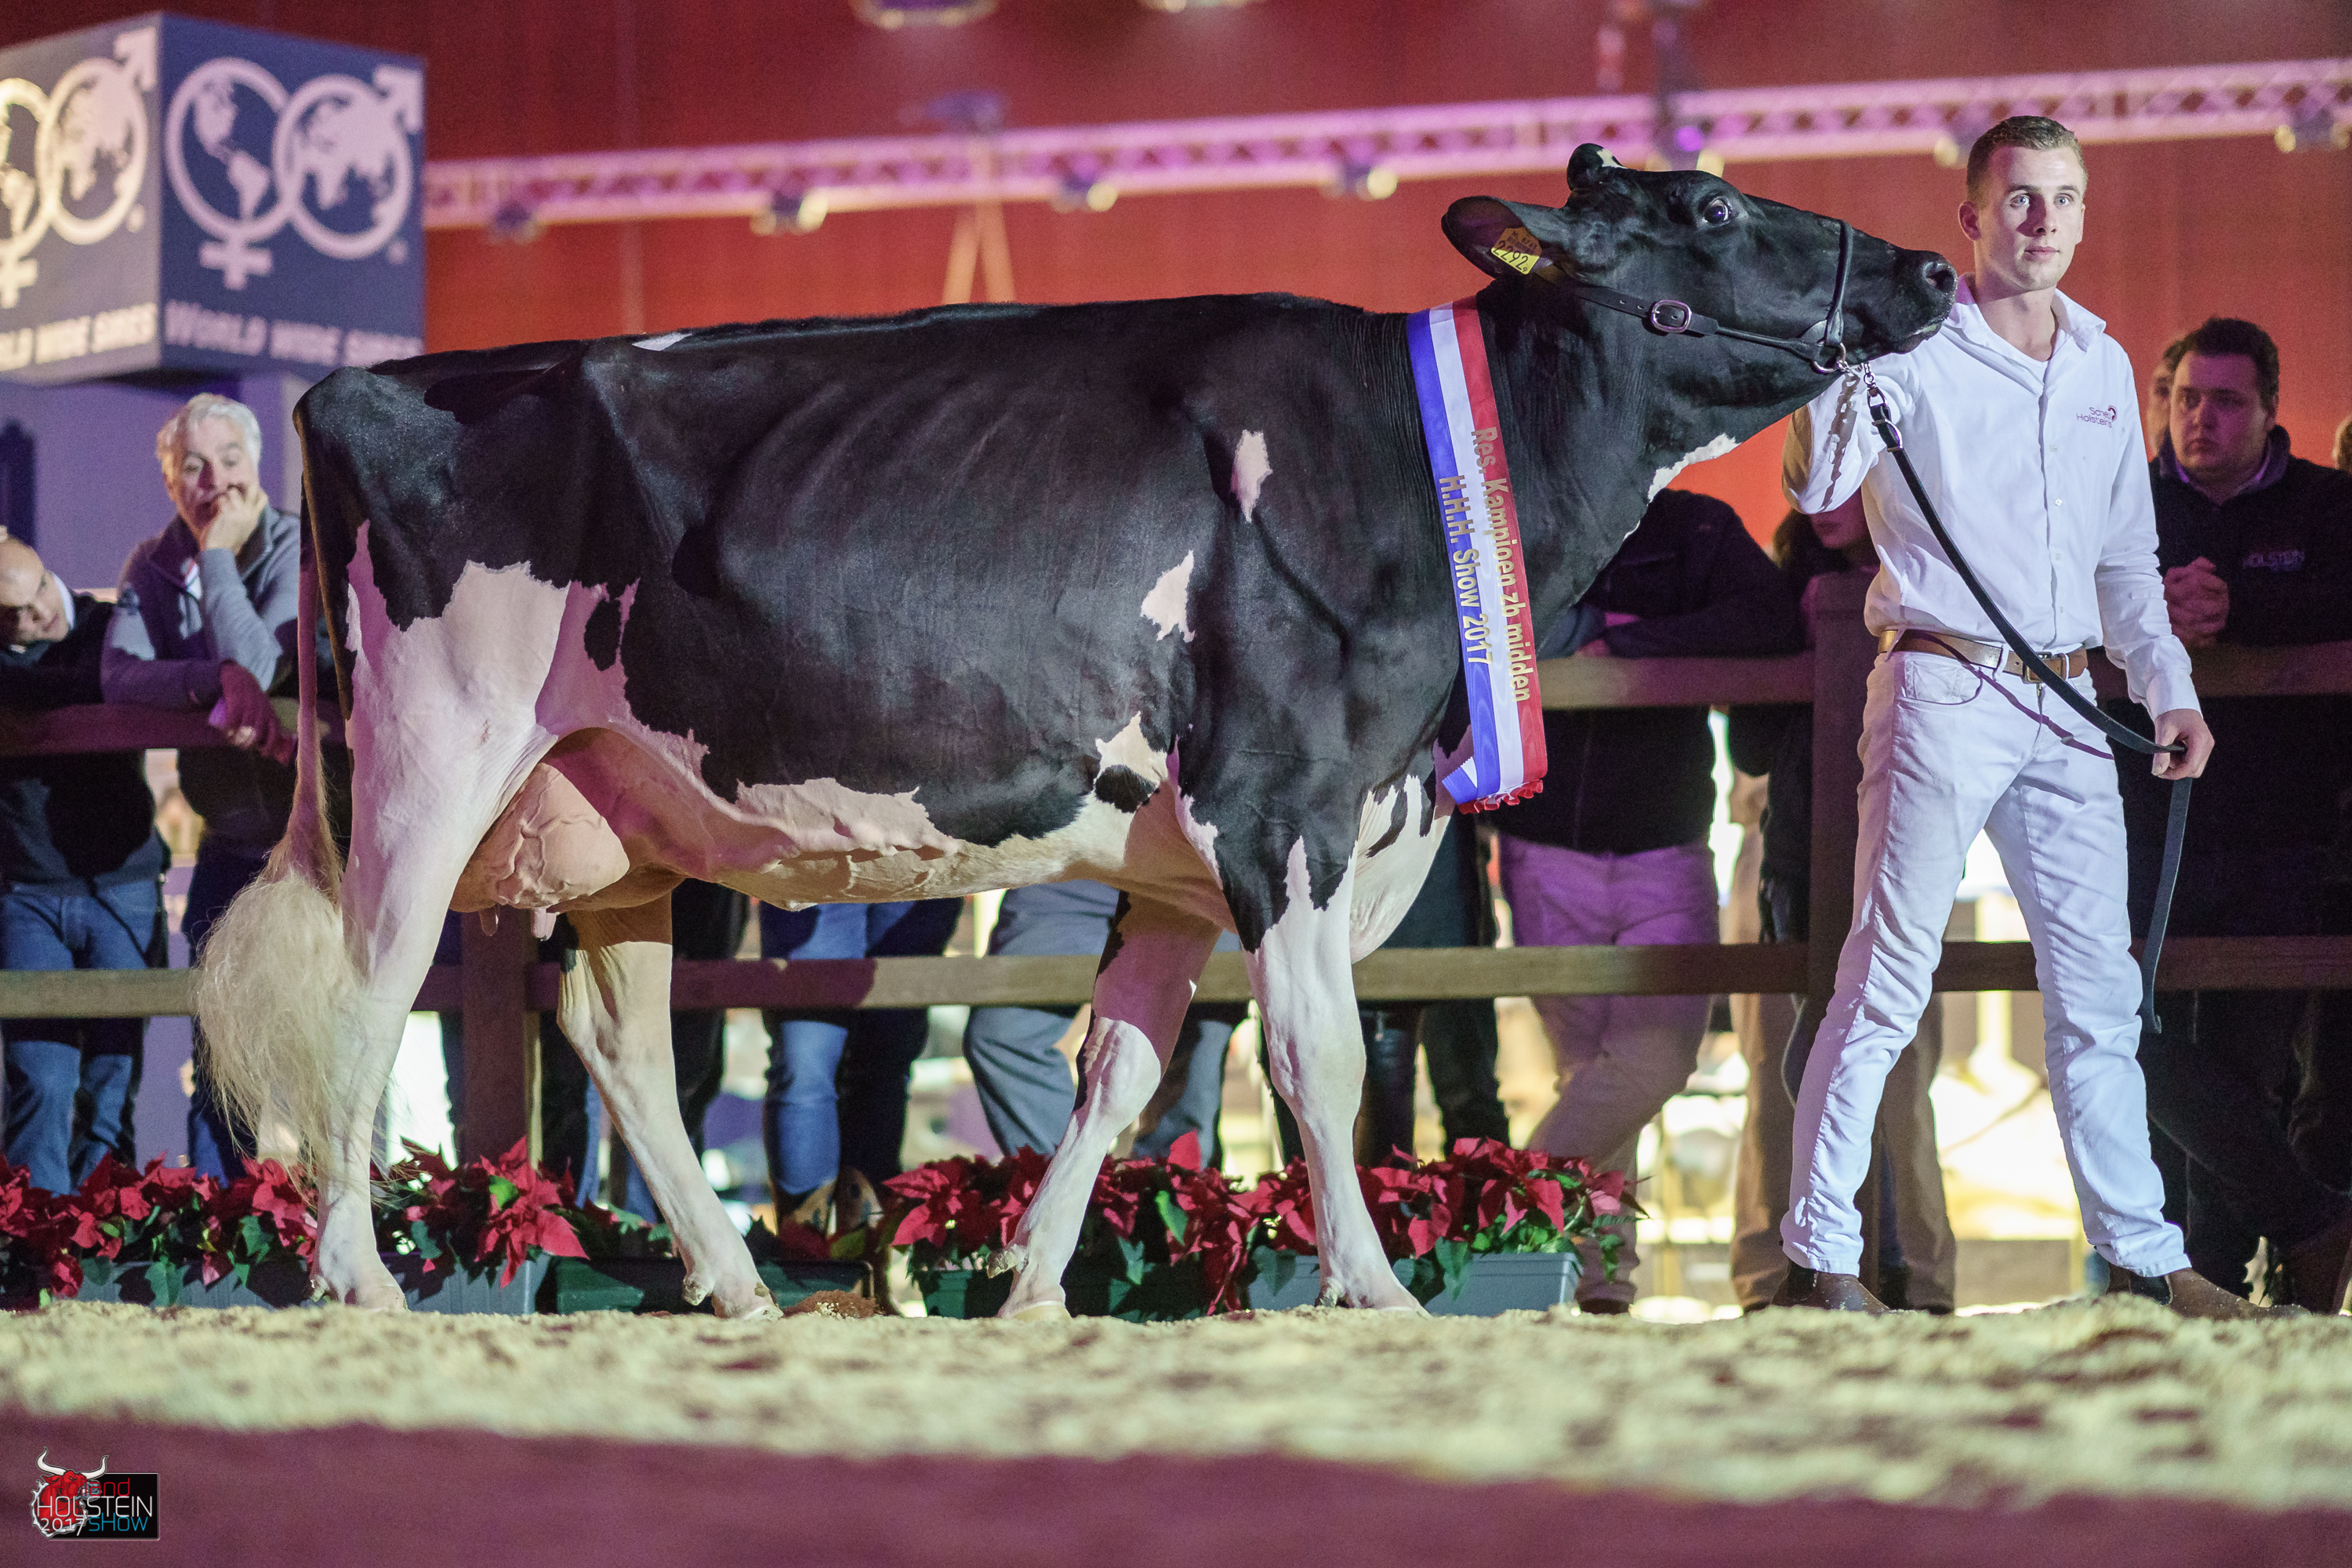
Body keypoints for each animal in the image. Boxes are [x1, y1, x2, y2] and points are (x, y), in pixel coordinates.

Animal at [196, 145, 1953, 1319]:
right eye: (1714, 209)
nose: (1934, 274)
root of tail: (364, 387)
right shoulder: (1286, 804)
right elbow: (1315, 1056)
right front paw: (1372, 1286)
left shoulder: (1187, 860)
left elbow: (1120, 1069)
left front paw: (1032, 1283)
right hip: (430, 762)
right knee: (369, 995)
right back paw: (357, 1276)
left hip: (617, 804)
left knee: (617, 1041)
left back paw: (738, 1290)